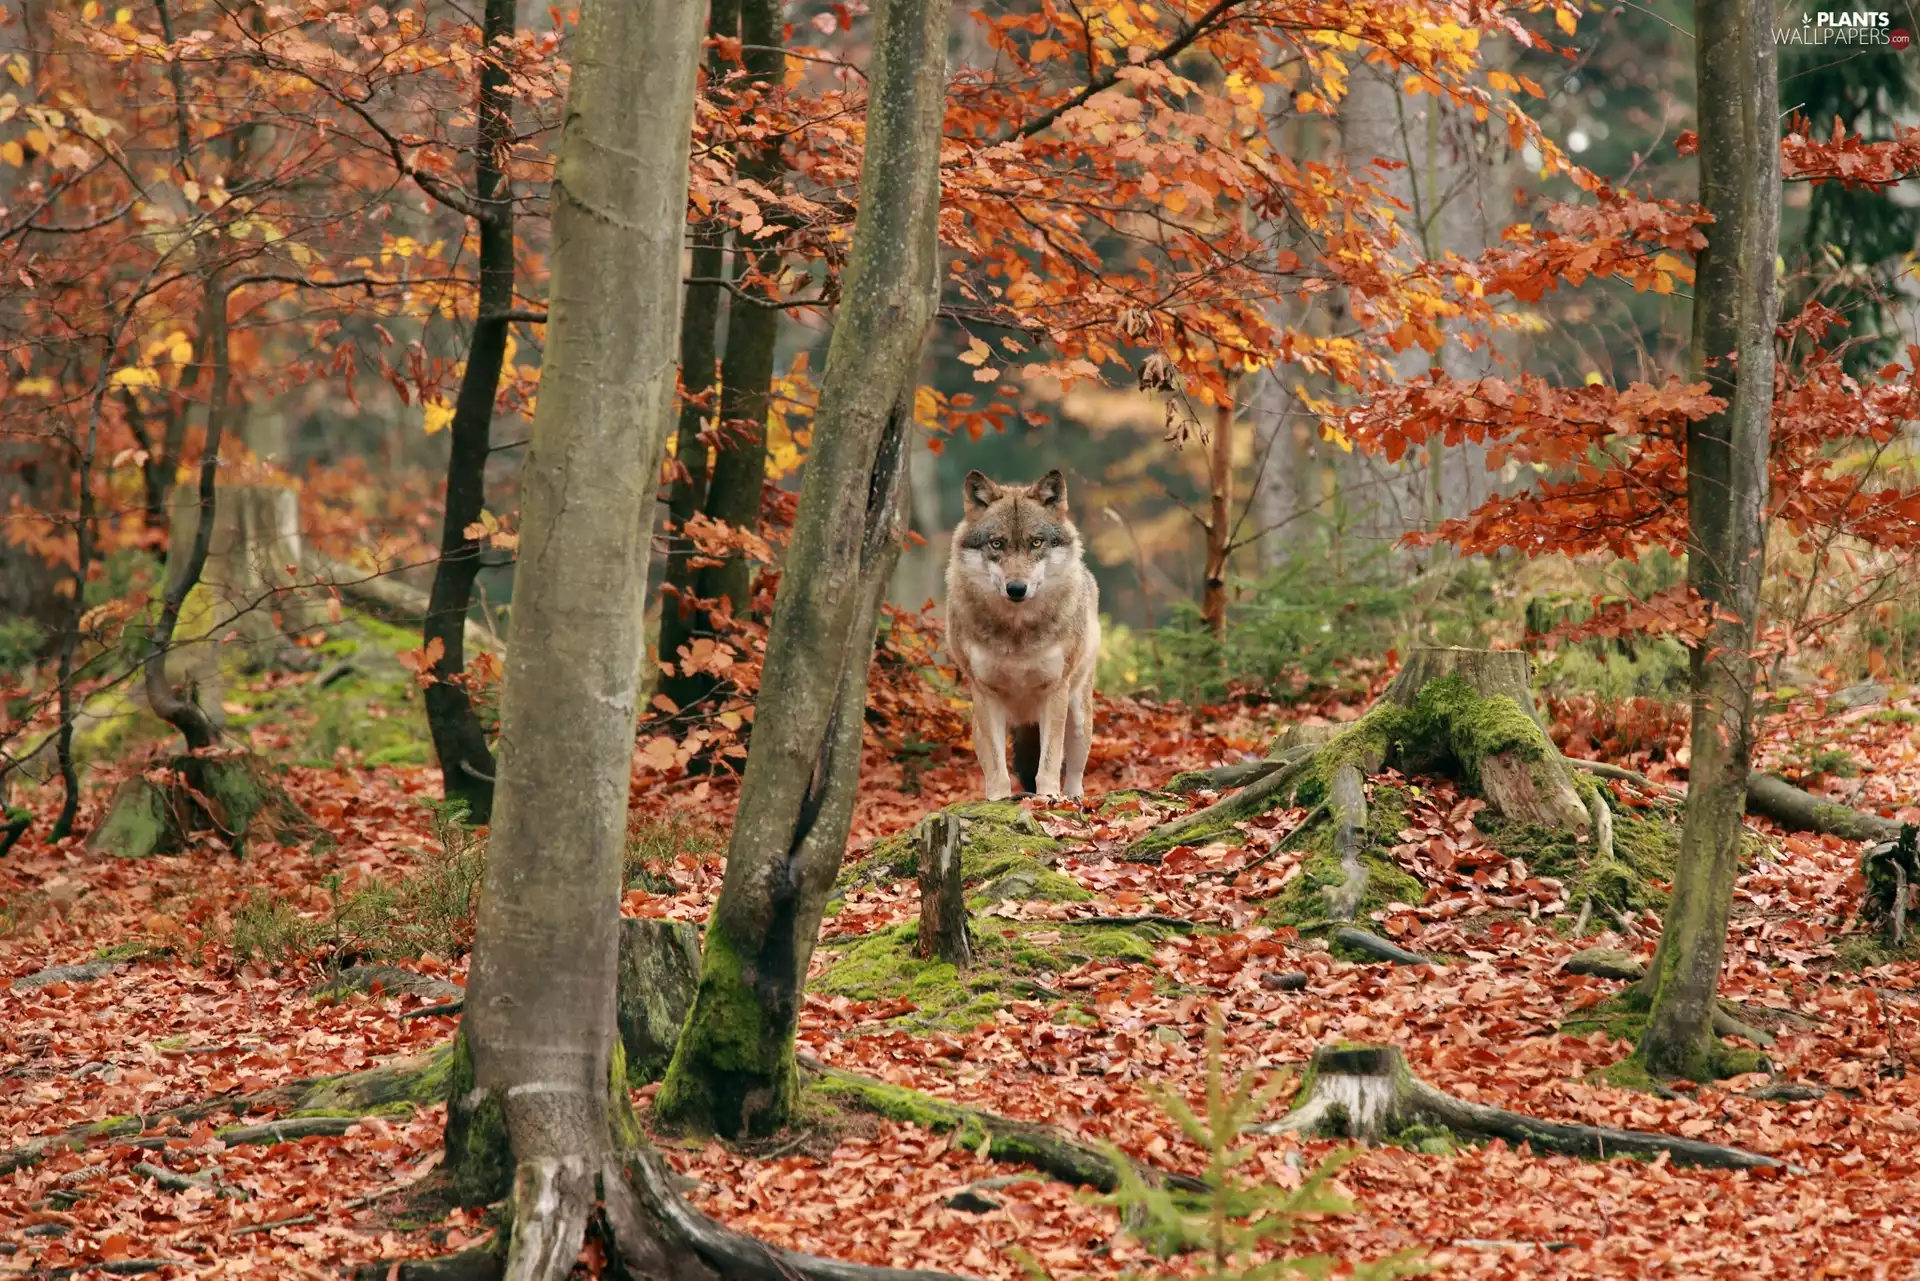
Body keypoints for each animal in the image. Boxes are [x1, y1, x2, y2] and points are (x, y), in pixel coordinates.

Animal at [945, 469, 1100, 799]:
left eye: (1036, 542)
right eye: (997, 544)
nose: (1016, 588)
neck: (1016, 635)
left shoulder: (1054, 691)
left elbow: (1050, 760)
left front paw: (1048, 797)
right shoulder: (986, 694)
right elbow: (996, 766)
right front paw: (998, 799)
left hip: (1078, 716)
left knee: (1075, 771)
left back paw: (1073, 798)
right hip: (982, 722)